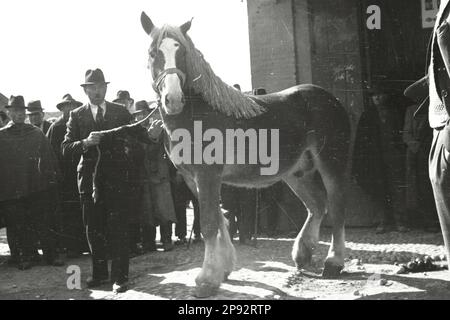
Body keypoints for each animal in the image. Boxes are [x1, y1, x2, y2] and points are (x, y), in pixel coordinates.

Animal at [140, 12, 352, 298]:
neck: (196, 115)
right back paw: (303, 254)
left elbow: (209, 224)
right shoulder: (193, 179)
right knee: (317, 205)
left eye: (181, 51)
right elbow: (220, 220)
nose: (172, 99)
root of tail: (330, 99)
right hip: (297, 172)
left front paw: (206, 280)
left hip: (331, 162)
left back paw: (334, 262)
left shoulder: (208, 175)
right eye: (153, 53)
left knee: (337, 206)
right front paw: (223, 270)